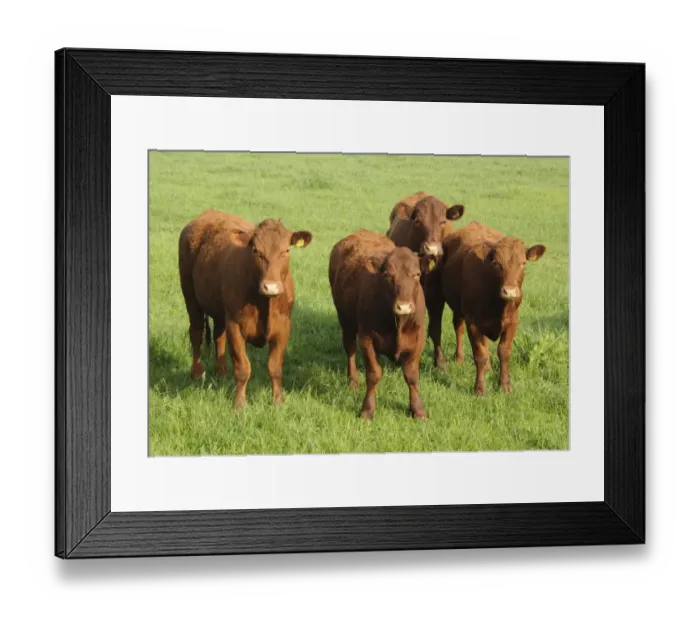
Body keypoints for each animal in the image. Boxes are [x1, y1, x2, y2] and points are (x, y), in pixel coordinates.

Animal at [178, 209, 312, 409]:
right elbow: (243, 368)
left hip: (220, 310)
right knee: (196, 333)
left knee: (218, 335)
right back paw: (197, 372)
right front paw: (239, 405)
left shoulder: (283, 327)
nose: (270, 286)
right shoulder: (235, 325)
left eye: (286, 250)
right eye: (256, 251)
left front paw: (278, 402)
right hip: (190, 295)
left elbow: (275, 367)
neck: (264, 303)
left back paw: (222, 371)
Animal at [328, 229, 433, 421]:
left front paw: (418, 410)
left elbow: (412, 376)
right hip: (346, 321)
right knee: (350, 349)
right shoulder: (366, 339)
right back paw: (353, 381)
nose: (404, 306)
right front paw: (367, 410)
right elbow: (374, 374)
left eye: (416, 274)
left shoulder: (418, 340)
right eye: (387, 275)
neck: (398, 323)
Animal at [386, 192, 465, 370]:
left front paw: (440, 362)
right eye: (418, 221)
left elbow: (436, 328)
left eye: (443, 221)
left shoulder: (437, 297)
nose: (432, 249)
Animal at [440, 221, 546, 396]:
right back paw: (459, 358)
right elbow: (480, 355)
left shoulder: (512, 321)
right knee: (458, 328)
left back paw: (489, 368)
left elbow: (504, 352)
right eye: (496, 264)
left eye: (523, 263)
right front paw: (479, 389)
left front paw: (504, 386)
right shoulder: (473, 323)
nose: (510, 291)